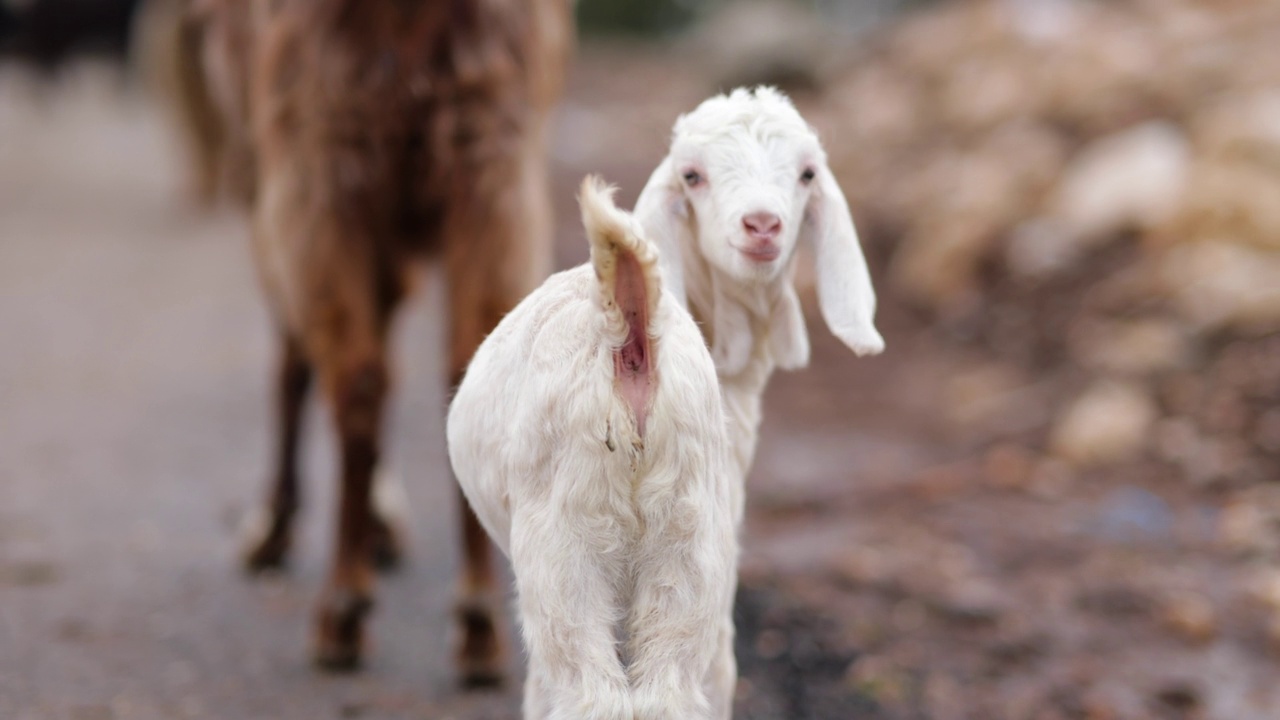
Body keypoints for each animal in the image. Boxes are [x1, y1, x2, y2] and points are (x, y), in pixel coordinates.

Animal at [190, 0, 570, 676]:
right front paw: (379, 520)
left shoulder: (270, 171)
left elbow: (296, 358)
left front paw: (277, 529)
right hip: (491, 149)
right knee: (461, 362)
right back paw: (477, 619)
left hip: (323, 146)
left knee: (350, 371)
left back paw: (342, 607)